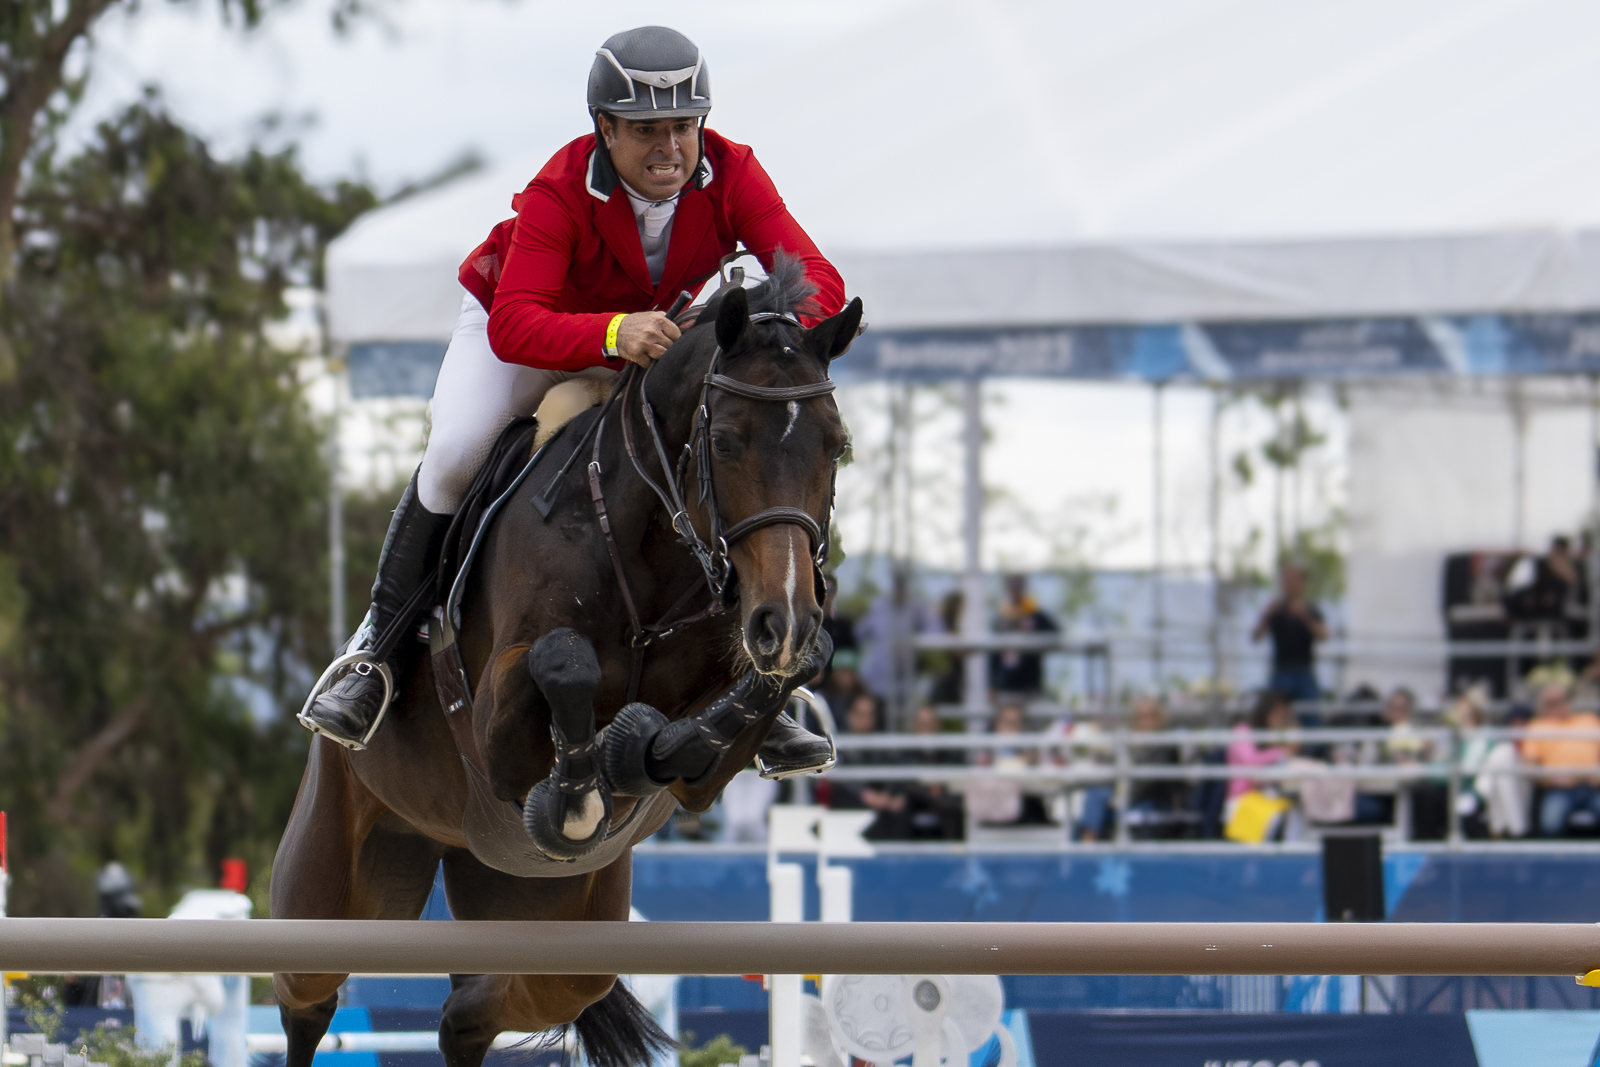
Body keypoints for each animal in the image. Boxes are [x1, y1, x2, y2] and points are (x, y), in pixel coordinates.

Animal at [268, 259, 864, 1067]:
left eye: (836, 445)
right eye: (727, 441)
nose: (787, 619)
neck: (651, 548)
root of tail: (456, 846)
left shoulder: (715, 759)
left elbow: (718, 723)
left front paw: (636, 751)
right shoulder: (493, 727)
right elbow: (565, 662)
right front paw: (582, 791)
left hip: (550, 932)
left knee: (470, 1011)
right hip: (331, 884)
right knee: (309, 999)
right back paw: (355, 697)